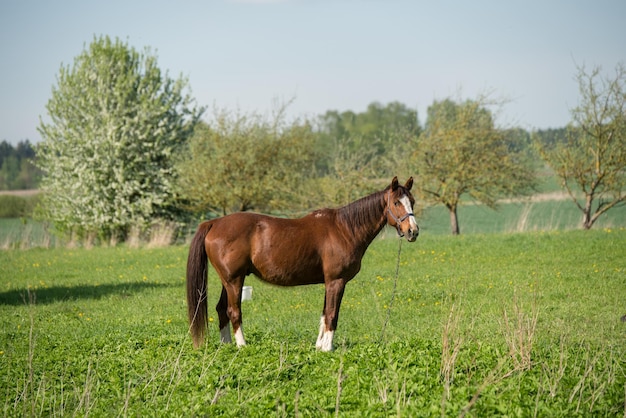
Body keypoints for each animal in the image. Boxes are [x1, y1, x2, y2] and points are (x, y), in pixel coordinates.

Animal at [186, 175, 420, 352]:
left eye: (413, 202)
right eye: (396, 202)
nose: (413, 231)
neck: (344, 229)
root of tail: (214, 222)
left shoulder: (329, 282)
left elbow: (324, 313)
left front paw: (319, 346)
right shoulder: (336, 281)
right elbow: (332, 314)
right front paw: (328, 348)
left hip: (229, 280)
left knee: (221, 309)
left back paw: (226, 345)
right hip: (234, 280)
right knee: (233, 311)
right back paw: (242, 345)